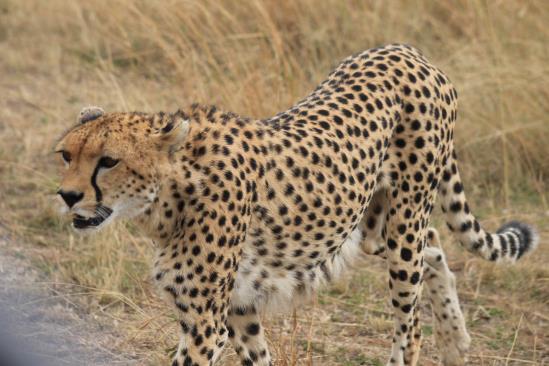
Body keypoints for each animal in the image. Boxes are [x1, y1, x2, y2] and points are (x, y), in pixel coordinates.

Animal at [54, 44, 536, 364]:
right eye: (66, 155)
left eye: (109, 161)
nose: (68, 195)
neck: (169, 194)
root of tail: (405, 50)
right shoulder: (237, 307)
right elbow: (258, 354)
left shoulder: (206, 321)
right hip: (374, 224)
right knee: (433, 243)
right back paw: (455, 340)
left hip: (403, 222)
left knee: (410, 321)